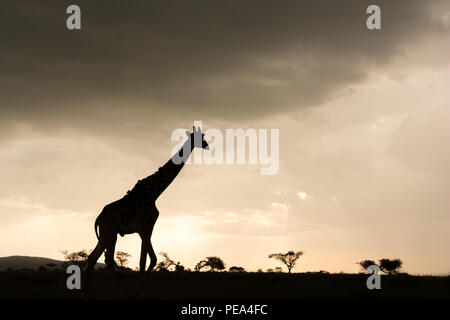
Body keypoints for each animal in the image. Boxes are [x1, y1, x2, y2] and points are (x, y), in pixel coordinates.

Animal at [82, 125, 209, 298]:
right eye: (199, 137)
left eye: (203, 136)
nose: (207, 145)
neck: (154, 193)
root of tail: (98, 218)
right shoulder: (144, 228)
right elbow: (152, 260)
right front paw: (135, 293)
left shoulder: (146, 229)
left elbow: (143, 261)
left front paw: (139, 293)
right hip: (111, 233)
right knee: (108, 259)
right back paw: (122, 292)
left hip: (104, 234)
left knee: (92, 257)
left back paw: (86, 293)